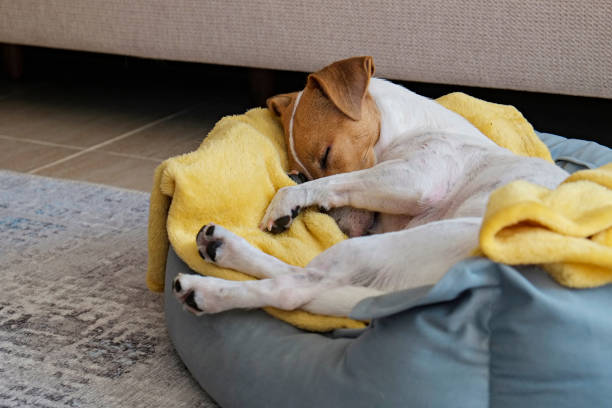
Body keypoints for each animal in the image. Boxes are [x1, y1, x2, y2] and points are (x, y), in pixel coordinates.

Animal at [173, 56, 568, 318]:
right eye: (297, 171)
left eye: (327, 153)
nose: (345, 229)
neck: (407, 127)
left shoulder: (417, 178)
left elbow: (337, 182)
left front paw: (286, 202)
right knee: (303, 275)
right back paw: (220, 246)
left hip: (395, 244)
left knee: (294, 287)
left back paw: (203, 290)